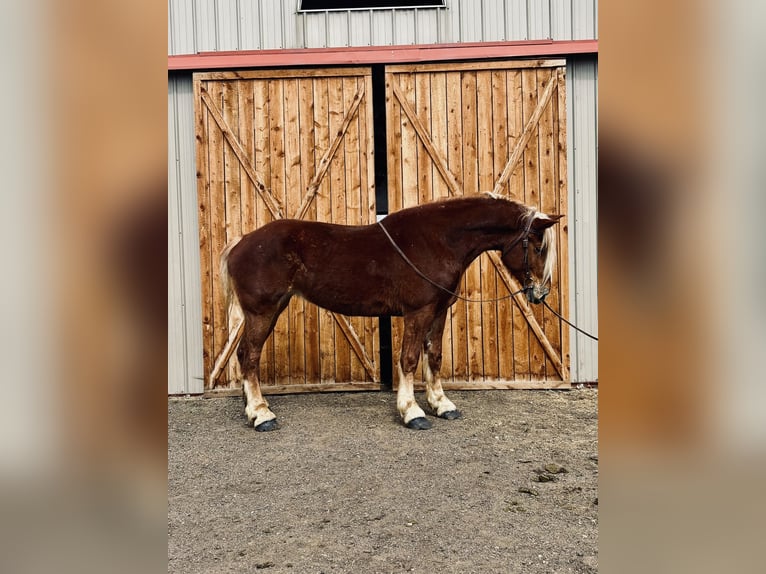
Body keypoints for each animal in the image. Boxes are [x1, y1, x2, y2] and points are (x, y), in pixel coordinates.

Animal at [221, 193, 562, 431]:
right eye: (538, 247)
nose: (541, 293)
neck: (439, 240)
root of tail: (240, 243)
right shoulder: (417, 313)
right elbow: (409, 359)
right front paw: (413, 412)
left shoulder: (438, 312)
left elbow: (434, 357)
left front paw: (442, 405)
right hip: (262, 311)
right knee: (249, 356)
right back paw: (261, 414)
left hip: (272, 309)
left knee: (245, 354)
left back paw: (252, 407)